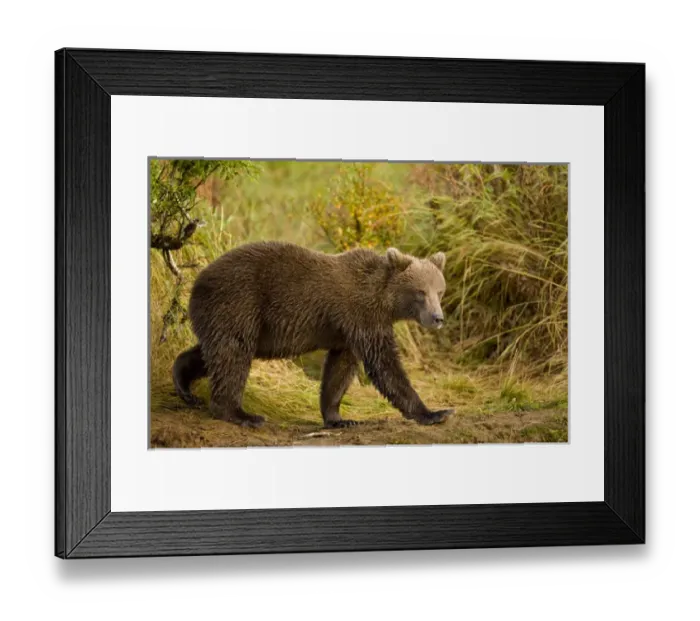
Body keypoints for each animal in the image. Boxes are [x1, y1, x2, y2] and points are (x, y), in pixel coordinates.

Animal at [172, 241, 453, 429]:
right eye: (420, 292)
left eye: (440, 291)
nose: (437, 318)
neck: (383, 300)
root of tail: (197, 280)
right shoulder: (362, 316)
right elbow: (385, 365)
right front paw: (435, 412)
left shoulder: (348, 332)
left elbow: (339, 371)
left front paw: (339, 418)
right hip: (239, 301)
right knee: (233, 354)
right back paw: (242, 414)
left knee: (214, 351)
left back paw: (184, 385)